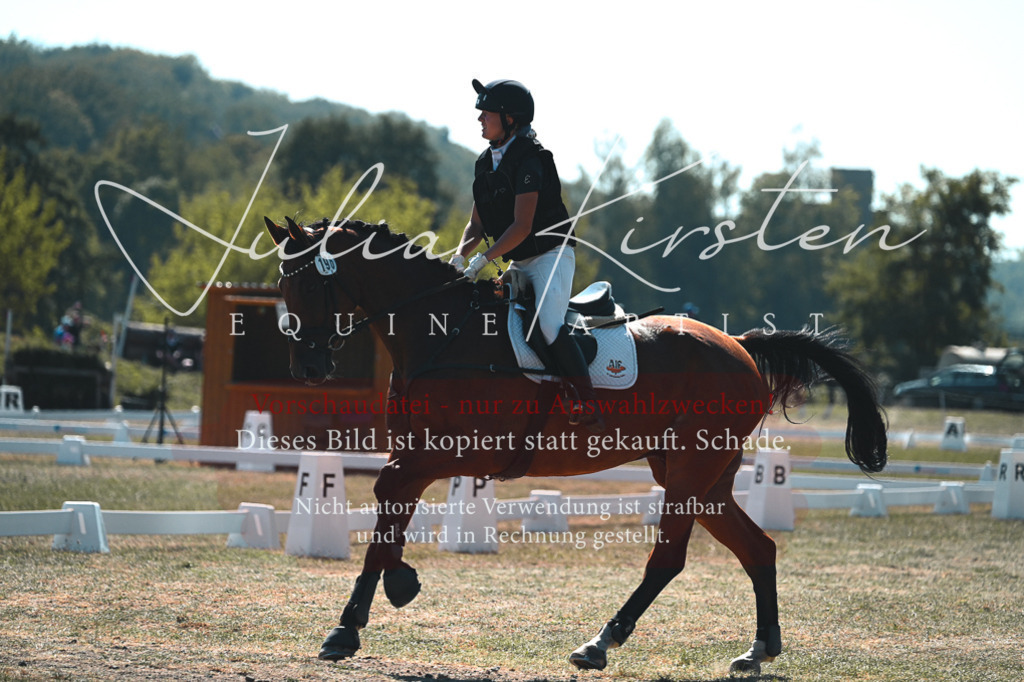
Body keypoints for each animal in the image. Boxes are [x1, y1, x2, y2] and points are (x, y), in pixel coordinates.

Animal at [263, 216, 887, 675]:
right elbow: (386, 517)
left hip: (691, 469)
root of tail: (738, 343)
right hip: (700, 475)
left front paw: (393, 590)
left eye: (312, 283)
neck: (443, 332)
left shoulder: (458, 450)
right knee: (758, 548)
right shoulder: (417, 453)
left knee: (669, 558)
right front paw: (353, 622)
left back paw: (600, 643)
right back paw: (758, 650)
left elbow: (387, 497)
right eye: (282, 285)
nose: (308, 368)